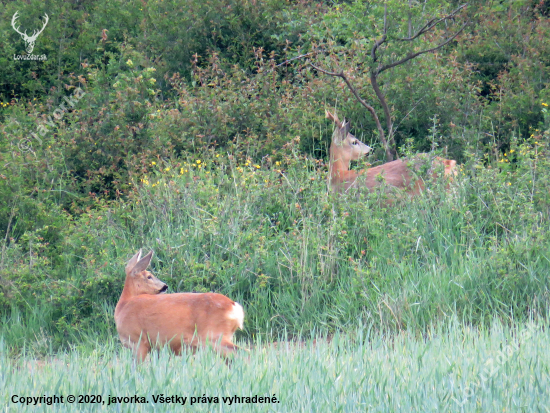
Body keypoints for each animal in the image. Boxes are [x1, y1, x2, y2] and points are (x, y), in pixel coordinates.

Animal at [115, 248, 246, 360]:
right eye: (149, 276)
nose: (165, 286)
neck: (123, 306)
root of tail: (234, 306)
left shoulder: (138, 341)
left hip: (214, 335)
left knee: (243, 353)